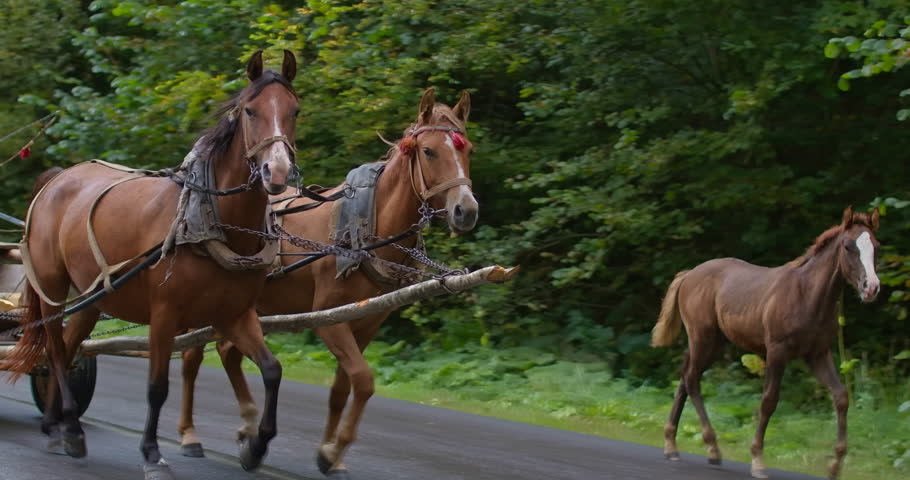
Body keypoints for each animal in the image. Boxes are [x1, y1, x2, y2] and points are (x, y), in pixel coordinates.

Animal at [4, 50, 300, 480]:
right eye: (250, 110)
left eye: (295, 110)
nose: (275, 172)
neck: (208, 220)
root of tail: (59, 178)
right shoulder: (164, 315)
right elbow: (157, 386)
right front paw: (151, 454)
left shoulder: (234, 314)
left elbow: (273, 370)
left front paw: (256, 446)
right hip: (52, 286)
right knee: (56, 352)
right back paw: (70, 428)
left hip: (93, 297)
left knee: (72, 345)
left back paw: (57, 424)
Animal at [176, 88, 477, 477]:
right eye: (429, 151)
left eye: (468, 150)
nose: (466, 210)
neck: (366, 226)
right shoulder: (328, 319)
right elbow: (363, 381)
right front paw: (335, 450)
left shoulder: (363, 322)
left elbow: (341, 387)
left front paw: (329, 453)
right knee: (191, 358)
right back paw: (190, 435)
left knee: (229, 353)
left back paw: (248, 428)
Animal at [651, 206, 881, 480]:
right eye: (848, 246)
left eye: (876, 246)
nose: (871, 288)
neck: (807, 295)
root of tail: (688, 275)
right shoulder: (777, 352)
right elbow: (769, 401)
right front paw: (758, 461)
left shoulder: (818, 354)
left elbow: (841, 396)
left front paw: (835, 466)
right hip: (701, 337)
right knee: (692, 379)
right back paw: (709, 447)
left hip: (713, 343)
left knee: (685, 378)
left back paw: (674, 446)